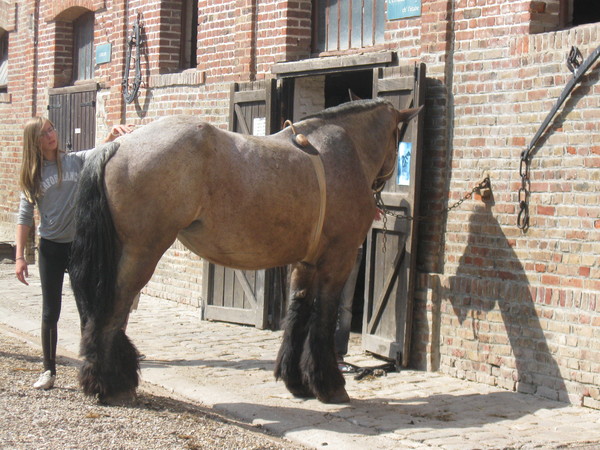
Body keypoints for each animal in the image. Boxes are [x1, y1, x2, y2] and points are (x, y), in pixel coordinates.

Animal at [70, 98, 422, 404]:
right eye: (398, 138)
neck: (342, 150)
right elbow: (322, 318)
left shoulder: (305, 263)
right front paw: (329, 385)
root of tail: (118, 145)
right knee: (111, 313)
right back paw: (109, 384)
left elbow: (298, 313)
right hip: (140, 254)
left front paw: (296, 381)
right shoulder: (338, 259)